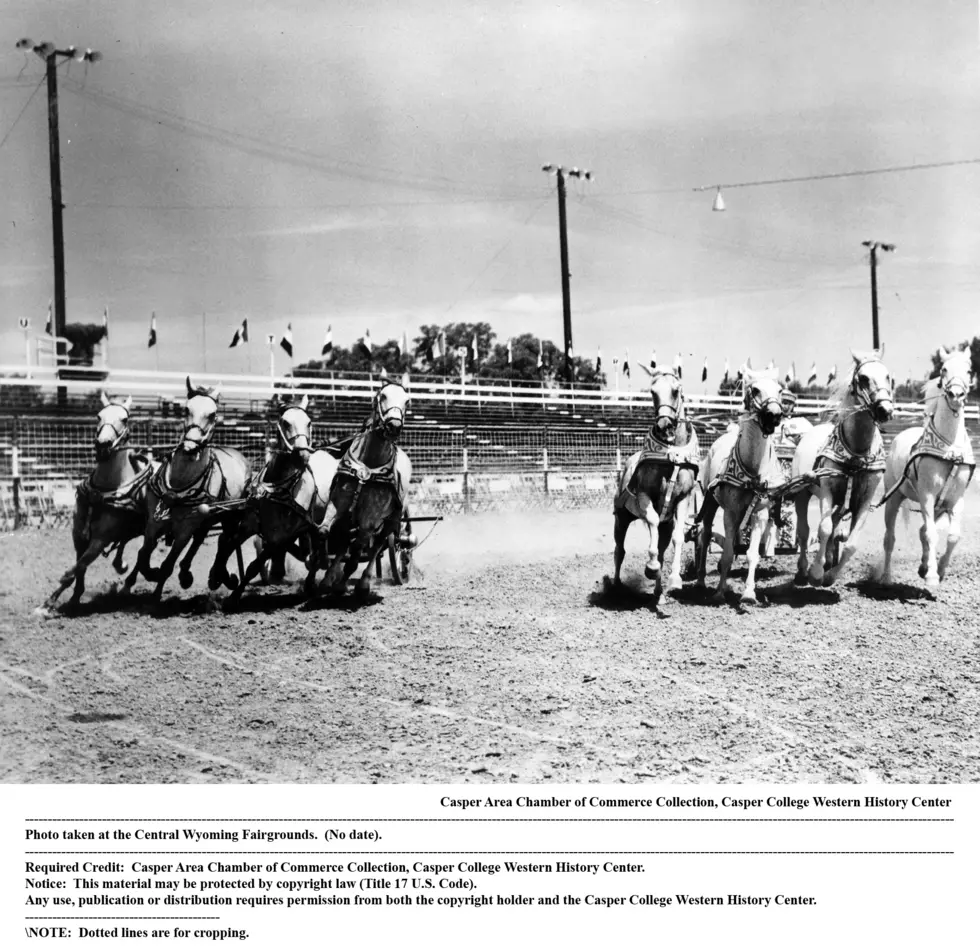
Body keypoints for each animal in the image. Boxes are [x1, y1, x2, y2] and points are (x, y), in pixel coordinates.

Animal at [692, 366, 784, 604]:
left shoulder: (759, 513)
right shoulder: (730, 512)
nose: (774, 415)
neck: (752, 471)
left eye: (780, 390)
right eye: (755, 389)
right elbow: (725, 554)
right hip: (710, 505)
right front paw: (719, 592)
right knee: (705, 536)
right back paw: (701, 581)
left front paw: (749, 594)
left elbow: (752, 554)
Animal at [792, 348, 892, 584]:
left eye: (888, 376)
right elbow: (824, 529)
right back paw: (803, 570)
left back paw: (829, 561)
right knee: (804, 531)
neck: (856, 453)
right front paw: (816, 573)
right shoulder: (827, 492)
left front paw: (830, 575)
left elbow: (851, 542)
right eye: (863, 378)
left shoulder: (864, 500)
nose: (885, 410)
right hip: (802, 494)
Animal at [884, 344, 976, 588]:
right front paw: (933, 575)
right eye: (943, 369)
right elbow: (932, 535)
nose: (956, 395)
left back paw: (923, 566)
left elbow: (952, 536)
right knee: (890, 539)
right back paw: (885, 577)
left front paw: (939, 570)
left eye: (969, 370)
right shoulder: (927, 496)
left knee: (922, 530)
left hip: (937, 509)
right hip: (893, 500)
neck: (950, 449)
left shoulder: (955, 500)